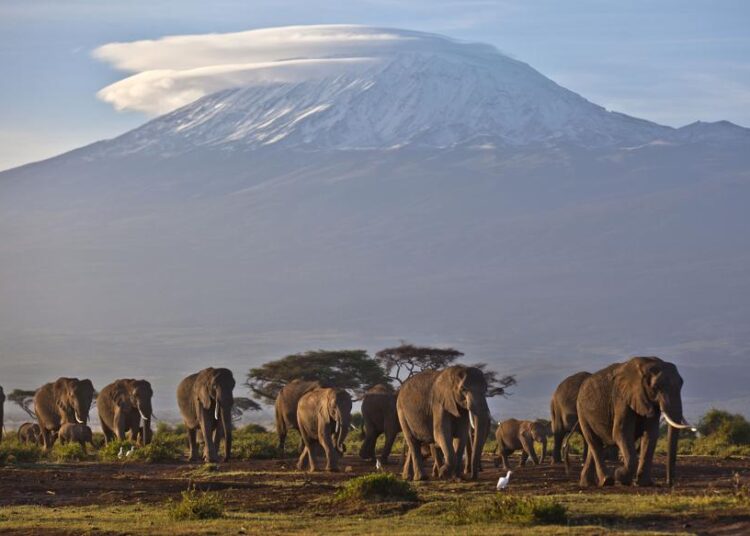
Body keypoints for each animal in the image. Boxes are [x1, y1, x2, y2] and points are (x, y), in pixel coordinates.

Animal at [577, 356, 694, 487]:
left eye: (681, 385)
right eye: (656, 387)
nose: (669, 483)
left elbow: (651, 435)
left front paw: (644, 483)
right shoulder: (622, 398)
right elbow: (621, 432)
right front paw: (620, 475)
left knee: (595, 446)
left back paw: (587, 483)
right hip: (582, 412)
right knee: (594, 442)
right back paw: (607, 481)